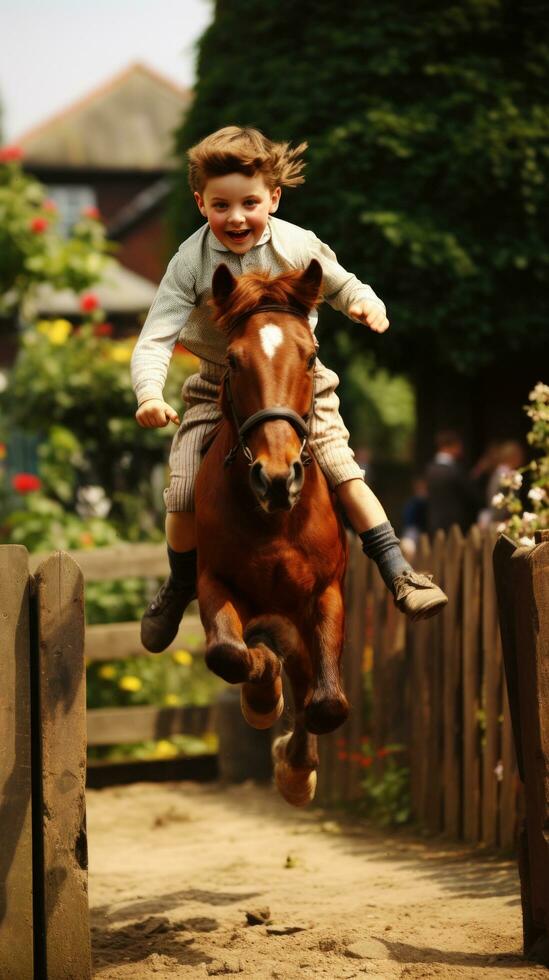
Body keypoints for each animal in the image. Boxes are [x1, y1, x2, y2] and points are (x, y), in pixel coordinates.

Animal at [195, 258, 346, 804]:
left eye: (311, 356)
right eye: (234, 361)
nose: (278, 476)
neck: (275, 516)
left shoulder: (324, 593)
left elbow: (326, 701)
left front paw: (296, 769)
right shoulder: (215, 581)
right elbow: (230, 653)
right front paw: (263, 695)